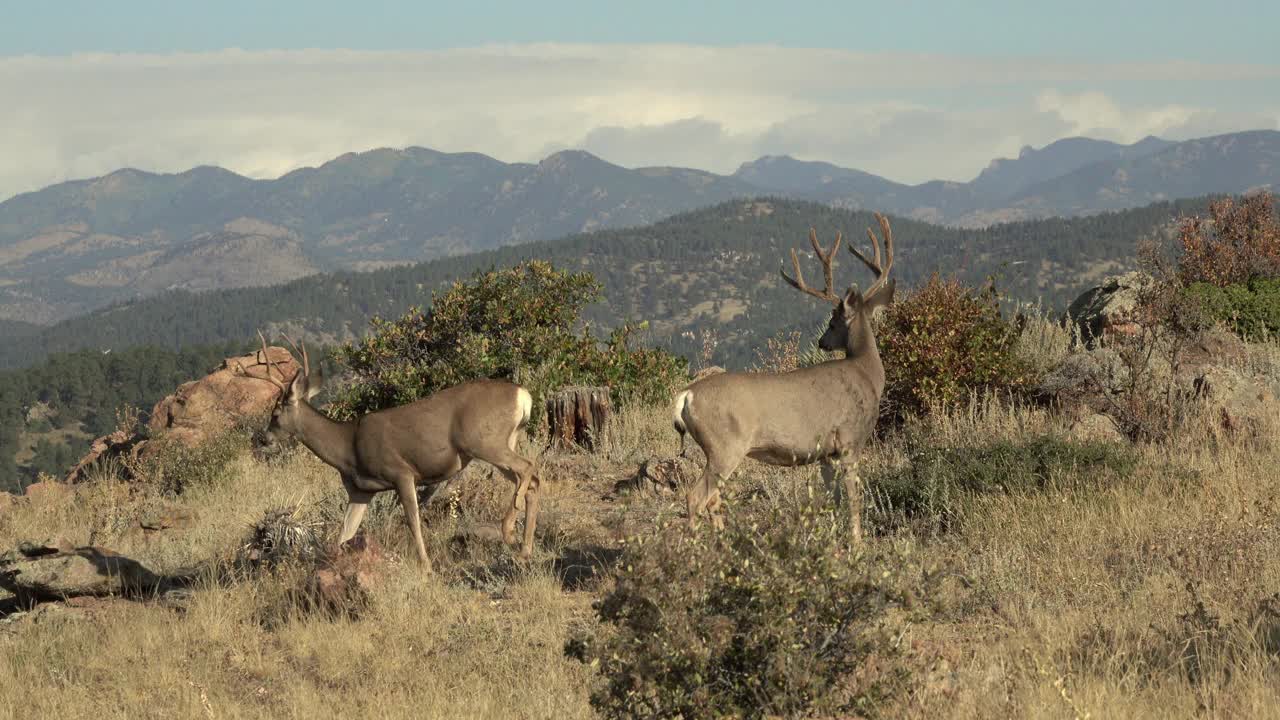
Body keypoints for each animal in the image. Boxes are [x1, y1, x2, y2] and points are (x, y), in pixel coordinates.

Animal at [239, 333, 540, 571]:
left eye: (275, 414)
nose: (264, 439)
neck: (347, 448)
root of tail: (523, 395)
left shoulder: (401, 472)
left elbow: (413, 521)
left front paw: (426, 566)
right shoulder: (361, 491)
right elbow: (344, 534)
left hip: (484, 441)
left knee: (528, 468)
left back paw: (509, 531)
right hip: (504, 441)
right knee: (532, 481)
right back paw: (524, 549)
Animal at [675, 210, 896, 535]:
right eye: (831, 321)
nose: (822, 342)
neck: (866, 373)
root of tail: (686, 395)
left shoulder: (825, 453)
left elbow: (834, 500)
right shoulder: (850, 439)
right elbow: (854, 501)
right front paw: (857, 542)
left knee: (712, 499)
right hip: (724, 446)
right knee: (695, 496)